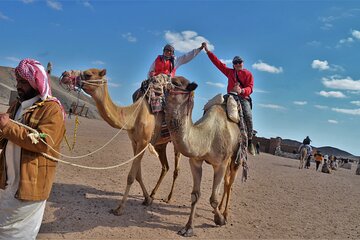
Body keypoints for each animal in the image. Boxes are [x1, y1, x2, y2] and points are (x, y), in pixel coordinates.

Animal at [60, 68, 183, 215]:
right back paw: (153, 194)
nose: (65, 74)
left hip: (177, 141)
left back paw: (168, 198)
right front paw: (147, 199)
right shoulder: (135, 142)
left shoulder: (143, 142)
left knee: (176, 170)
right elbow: (138, 175)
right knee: (165, 167)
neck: (134, 116)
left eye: (88, 74)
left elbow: (131, 176)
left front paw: (119, 208)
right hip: (161, 144)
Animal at [164, 76, 246, 236]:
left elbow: (213, 198)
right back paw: (219, 209)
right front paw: (188, 228)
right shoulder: (195, 161)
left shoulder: (220, 164)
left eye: (176, 82)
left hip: (235, 158)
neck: (207, 138)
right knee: (226, 183)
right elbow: (195, 195)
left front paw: (220, 220)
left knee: (229, 184)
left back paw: (225, 213)